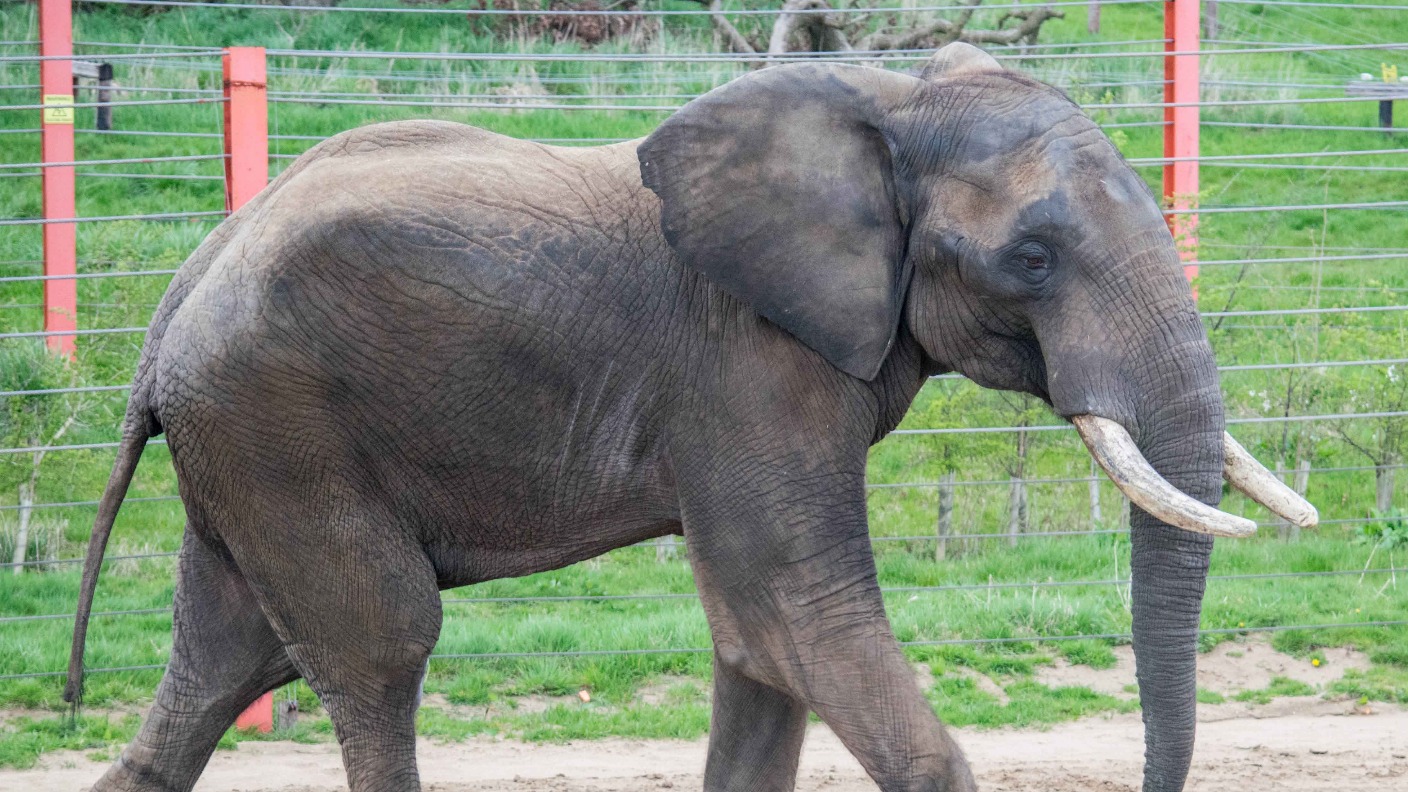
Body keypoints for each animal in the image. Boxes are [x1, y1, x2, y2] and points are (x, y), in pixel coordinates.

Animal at [63, 41, 1317, 789]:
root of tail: (180, 295)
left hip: (246, 443)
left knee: (227, 662)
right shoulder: (746, 364)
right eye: (1034, 258)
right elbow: (795, 615)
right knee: (379, 646)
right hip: (282, 426)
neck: (883, 104)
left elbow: (758, 647)